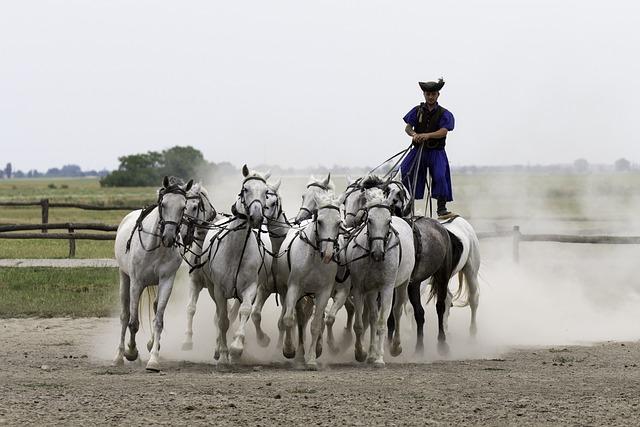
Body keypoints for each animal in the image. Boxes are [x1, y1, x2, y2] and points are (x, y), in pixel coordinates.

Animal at [112, 176, 194, 372]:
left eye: (183, 207)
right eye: (163, 204)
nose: (169, 237)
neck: (156, 246)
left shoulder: (166, 282)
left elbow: (158, 321)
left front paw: (154, 359)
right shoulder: (136, 283)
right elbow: (133, 323)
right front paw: (131, 352)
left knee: (155, 308)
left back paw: (150, 345)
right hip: (124, 278)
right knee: (125, 316)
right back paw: (119, 356)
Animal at [276, 193, 342, 368]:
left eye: (338, 223)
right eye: (320, 221)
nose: (327, 254)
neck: (314, 260)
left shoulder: (323, 292)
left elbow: (316, 325)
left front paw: (312, 358)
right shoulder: (294, 287)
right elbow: (289, 319)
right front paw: (289, 350)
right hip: (289, 291)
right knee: (296, 318)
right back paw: (297, 353)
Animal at [344, 191, 416, 368]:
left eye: (388, 221)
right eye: (369, 220)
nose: (378, 253)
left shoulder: (387, 288)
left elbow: (382, 323)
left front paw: (379, 358)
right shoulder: (360, 288)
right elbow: (360, 324)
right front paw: (361, 353)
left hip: (402, 284)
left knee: (397, 311)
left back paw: (396, 347)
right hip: (372, 291)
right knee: (372, 317)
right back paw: (370, 353)